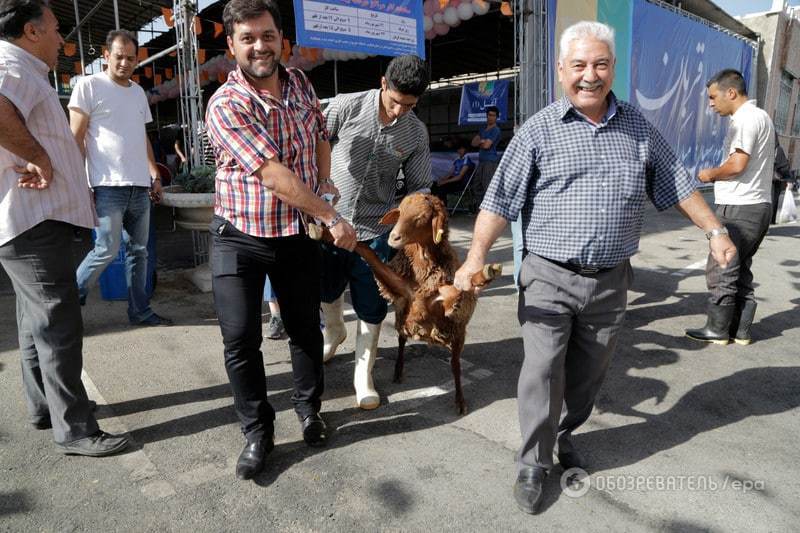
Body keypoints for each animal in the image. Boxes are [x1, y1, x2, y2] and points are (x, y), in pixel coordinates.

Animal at [318, 193, 500, 414]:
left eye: (422, 217)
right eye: (400, 212)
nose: (393, 237)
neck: (423, 264)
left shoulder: (443, 301)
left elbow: (459, 290)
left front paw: (485, 273)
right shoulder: (399, 285)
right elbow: (368, 253)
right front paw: (324, 232)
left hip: (456, 334)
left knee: (456, 365)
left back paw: (460, 401)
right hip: (404, 322)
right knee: (401, 342)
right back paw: (398, 371)